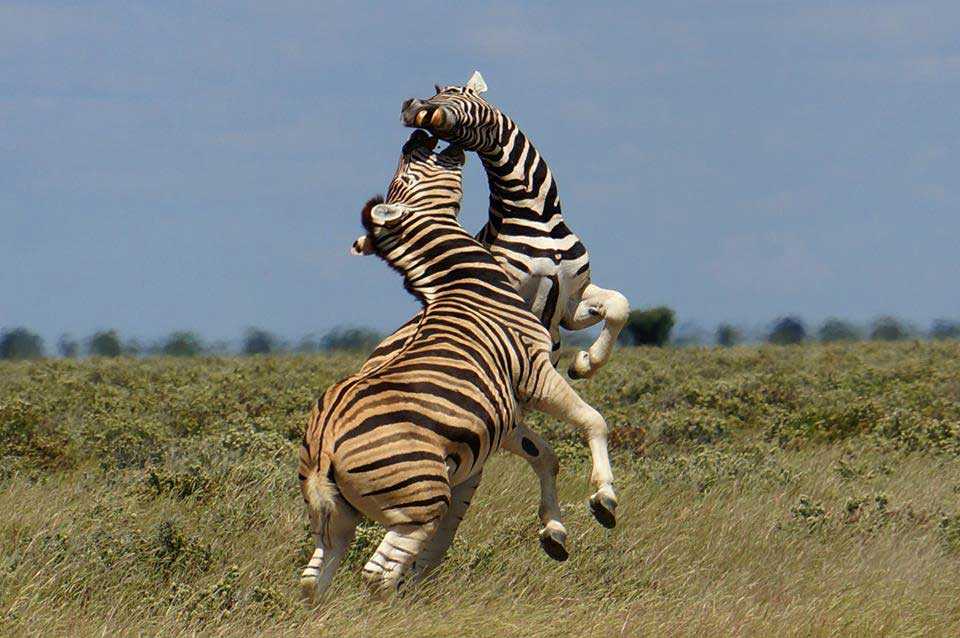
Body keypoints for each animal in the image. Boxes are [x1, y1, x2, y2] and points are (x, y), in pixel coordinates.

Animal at [298, 132, 624, 604]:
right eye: (408, 175)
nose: (418, 135)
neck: (463, 282)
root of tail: (323, 443)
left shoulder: (513, 402)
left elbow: (547, 453)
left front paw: (555, 530)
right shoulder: (534, 371)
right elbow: (592, 420)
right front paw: (604, 497)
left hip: (335, 519)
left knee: (315, 578)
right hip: (419, 499)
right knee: (379, 572)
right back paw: (397, 610)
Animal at [398, 71, 632, 380]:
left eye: (456, 92)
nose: (411, 107)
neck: (535, 213)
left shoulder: (571, 300)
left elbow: (619, 305)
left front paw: (585, 363)